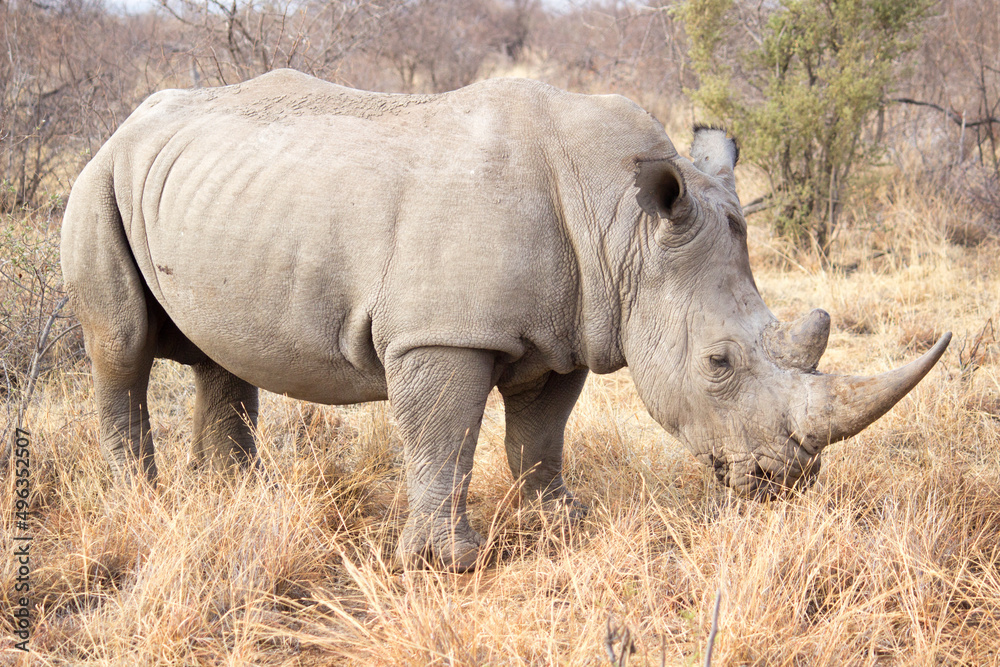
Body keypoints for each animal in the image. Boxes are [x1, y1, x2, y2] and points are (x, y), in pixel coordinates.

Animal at [61, 69, 950, 570]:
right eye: (720, 364)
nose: (786, 480)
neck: (624, 225)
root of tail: (127, 121)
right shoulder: (441, 332)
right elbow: (444, 436)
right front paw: (449, 564)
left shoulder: (570, 329)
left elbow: (539, 434)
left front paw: (560, 521)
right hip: (97, 176)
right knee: (122, 349)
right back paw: (143, 501)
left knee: (221, 357)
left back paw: (232, 498)